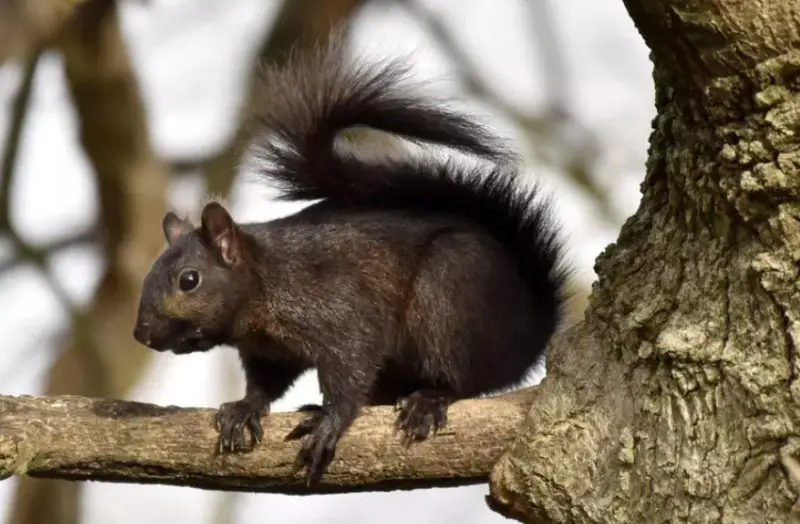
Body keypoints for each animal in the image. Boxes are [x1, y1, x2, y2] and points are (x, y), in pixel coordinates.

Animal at [132, 37, 571, 485]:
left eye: (189, 280)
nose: (142, 334)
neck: (265, 286)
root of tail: (529, 333)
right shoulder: (270, 350)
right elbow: (265, 383)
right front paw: (244, 408)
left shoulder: (338, 310)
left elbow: (352, 366)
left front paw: (331, 422)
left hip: (448, 293)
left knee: (463, 378)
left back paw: (428, 400)